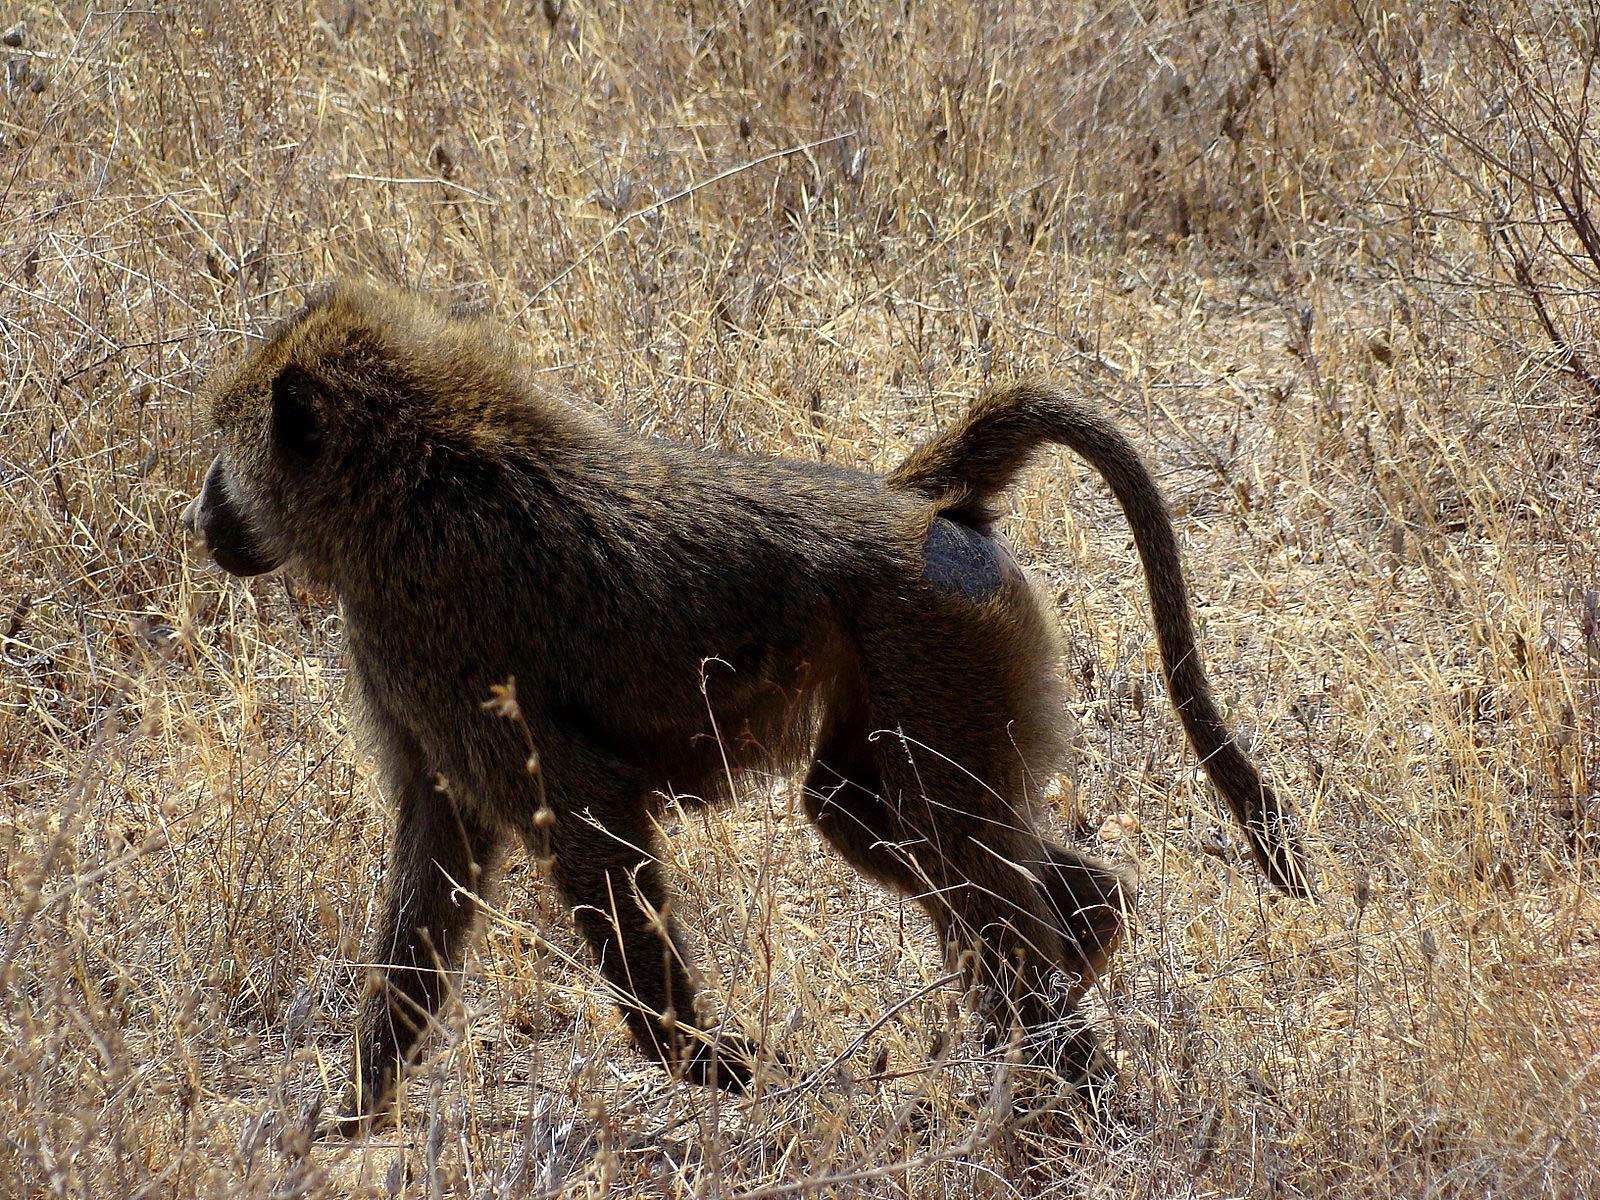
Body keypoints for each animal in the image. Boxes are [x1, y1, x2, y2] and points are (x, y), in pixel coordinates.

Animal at [182, 281, 1312, 1136]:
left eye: (224, 453)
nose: (200, 515)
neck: (405, 473)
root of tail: (919, 502)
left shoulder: (433, 641)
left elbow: (583, 819)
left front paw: (714, 1063)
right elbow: (438, 845)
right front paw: (350, 1115)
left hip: (941, 645)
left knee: (952, 846)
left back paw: (1058, 1075)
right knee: (876, 820)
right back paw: (1076, 961)